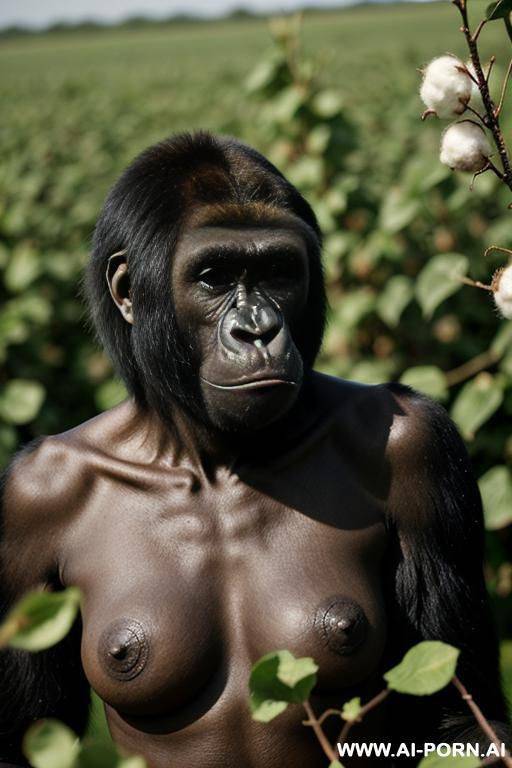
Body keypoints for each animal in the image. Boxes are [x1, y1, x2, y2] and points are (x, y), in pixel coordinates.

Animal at [0, 131, 509, 767]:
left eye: (279, 270)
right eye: (214, 276)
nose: (258, 328)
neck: (205, 457)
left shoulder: (422, 448)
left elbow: (461, 716)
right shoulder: (27, 504)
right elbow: (28, 735)